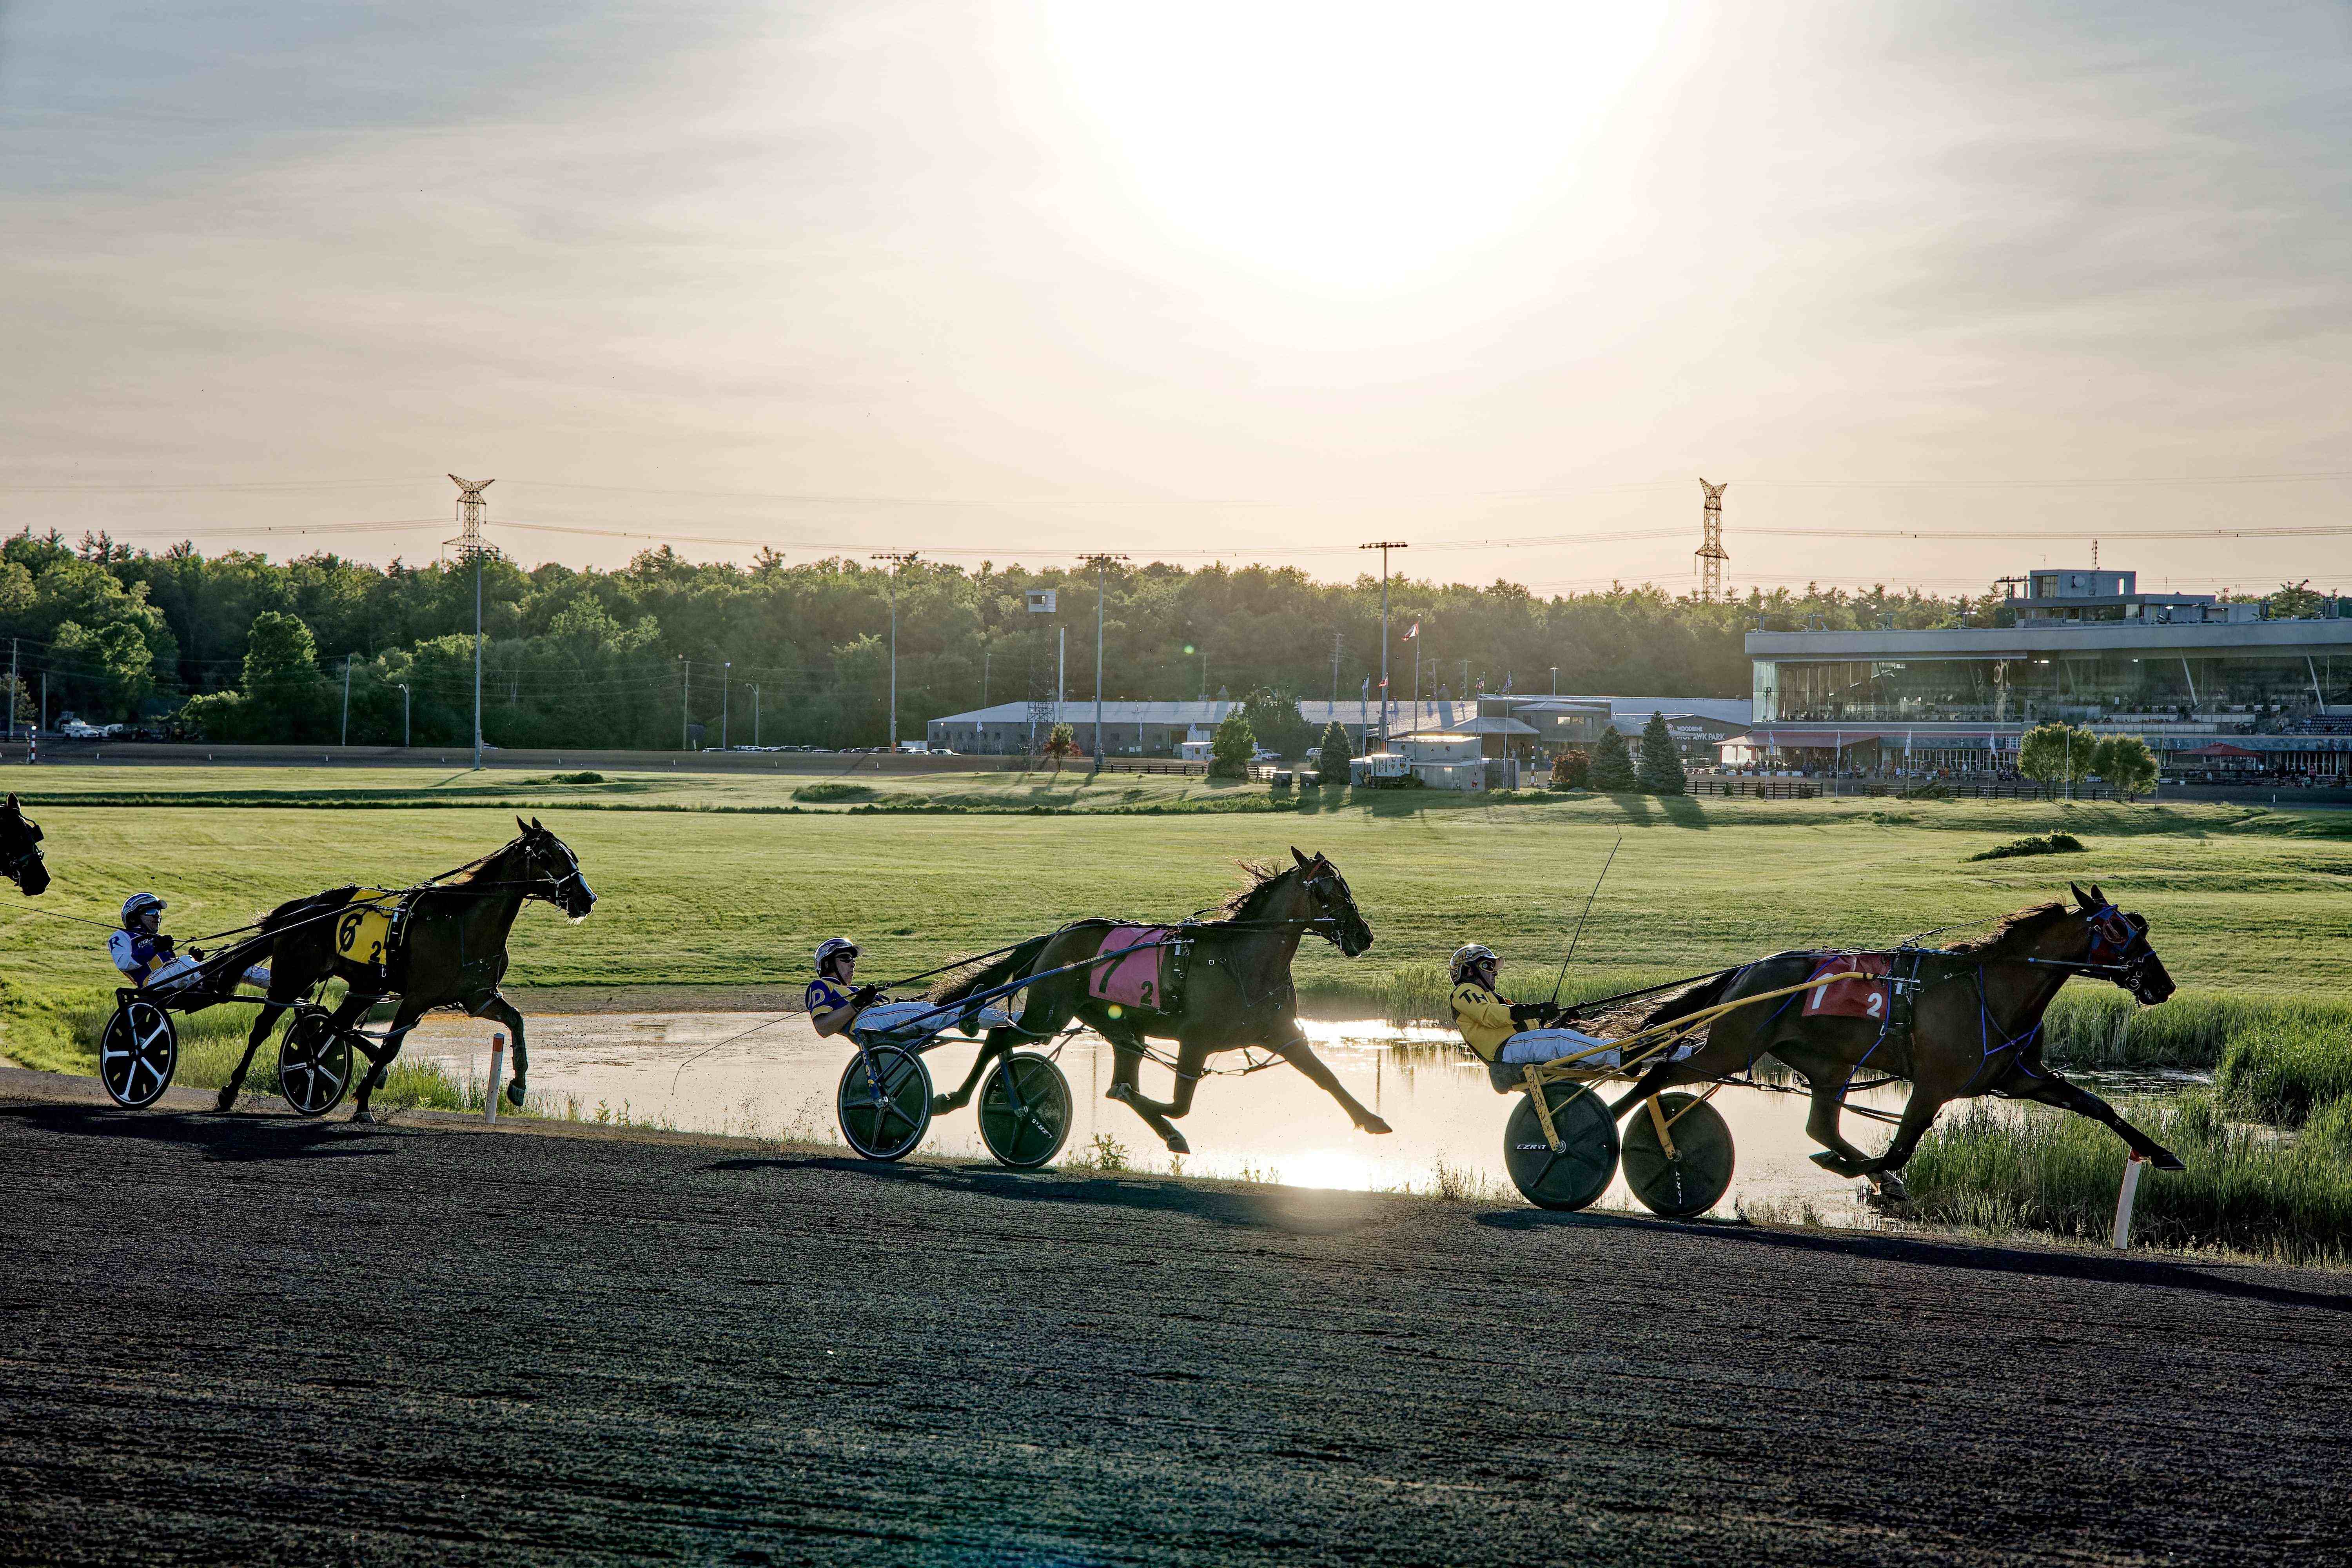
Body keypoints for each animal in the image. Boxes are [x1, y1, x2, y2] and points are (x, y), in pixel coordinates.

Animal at [219, 818, 597, 1123]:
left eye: (574, 855)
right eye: (548, 857)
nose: (588, 898)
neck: (463, 923)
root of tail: (301, 908)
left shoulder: (479, 998)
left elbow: (516, 1021)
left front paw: (518, 1086)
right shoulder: (418, 997)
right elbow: (391, 1047)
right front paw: (363, 1103)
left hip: (365, 986)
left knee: (336, 1025)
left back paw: (323, 1064)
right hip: (293, 977)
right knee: (264, 1029)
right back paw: (231, 1091)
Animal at [927, 851, 1383, 1161]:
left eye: (1345, 888)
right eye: (1328, 892)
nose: (1364, 934)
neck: (1240, 959)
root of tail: (1057, 936)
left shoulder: (1281, 1033)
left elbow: (1326, 1077)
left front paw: (1372, 1119)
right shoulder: (1195, 1040)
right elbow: (1178, 1103)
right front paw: (1165, 1122)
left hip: (1118, 1027)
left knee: (1106, 1070)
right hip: (1048, 1014)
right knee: (999, 1038)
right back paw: (954, 1099)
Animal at [1609, 884, 2173, 1203]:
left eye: (2137, 925)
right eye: (2119, 928)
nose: (2162, 983)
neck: (1989, 988)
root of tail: (1747, 971)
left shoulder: (2020, 1076)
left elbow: (2097, 1105)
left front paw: (2161, 1152)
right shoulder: (1934, 1083)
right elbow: (1903, 1145)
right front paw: (1867, 1173)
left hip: (1828, 1066)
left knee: (1821, 1125)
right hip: (1732, 1046)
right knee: (1660, 1072)